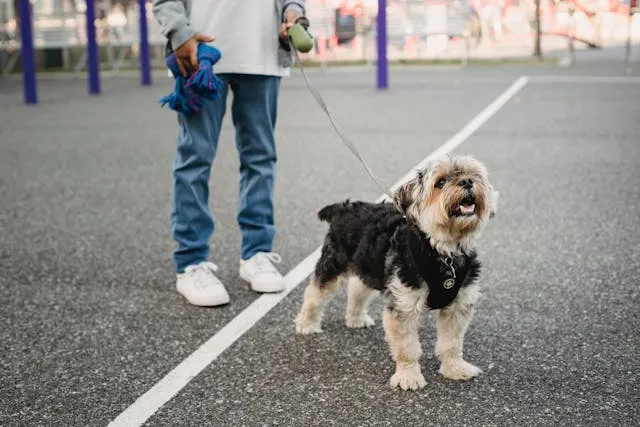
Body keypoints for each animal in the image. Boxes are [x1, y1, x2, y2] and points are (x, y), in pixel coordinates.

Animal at [296, 154, 500, 392]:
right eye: (440, 182)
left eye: (473, 175)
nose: (467, 181)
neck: (442, 251)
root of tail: (343, 207)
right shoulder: (404, 306)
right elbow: (407, 347)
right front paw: (408, 376)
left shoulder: (458, 306)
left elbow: (452, 343)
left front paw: (455, 368)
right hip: (334, 262)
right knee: (315, 291)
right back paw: (306, 323)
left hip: (369, 264)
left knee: (357, 286)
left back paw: (356, 318)